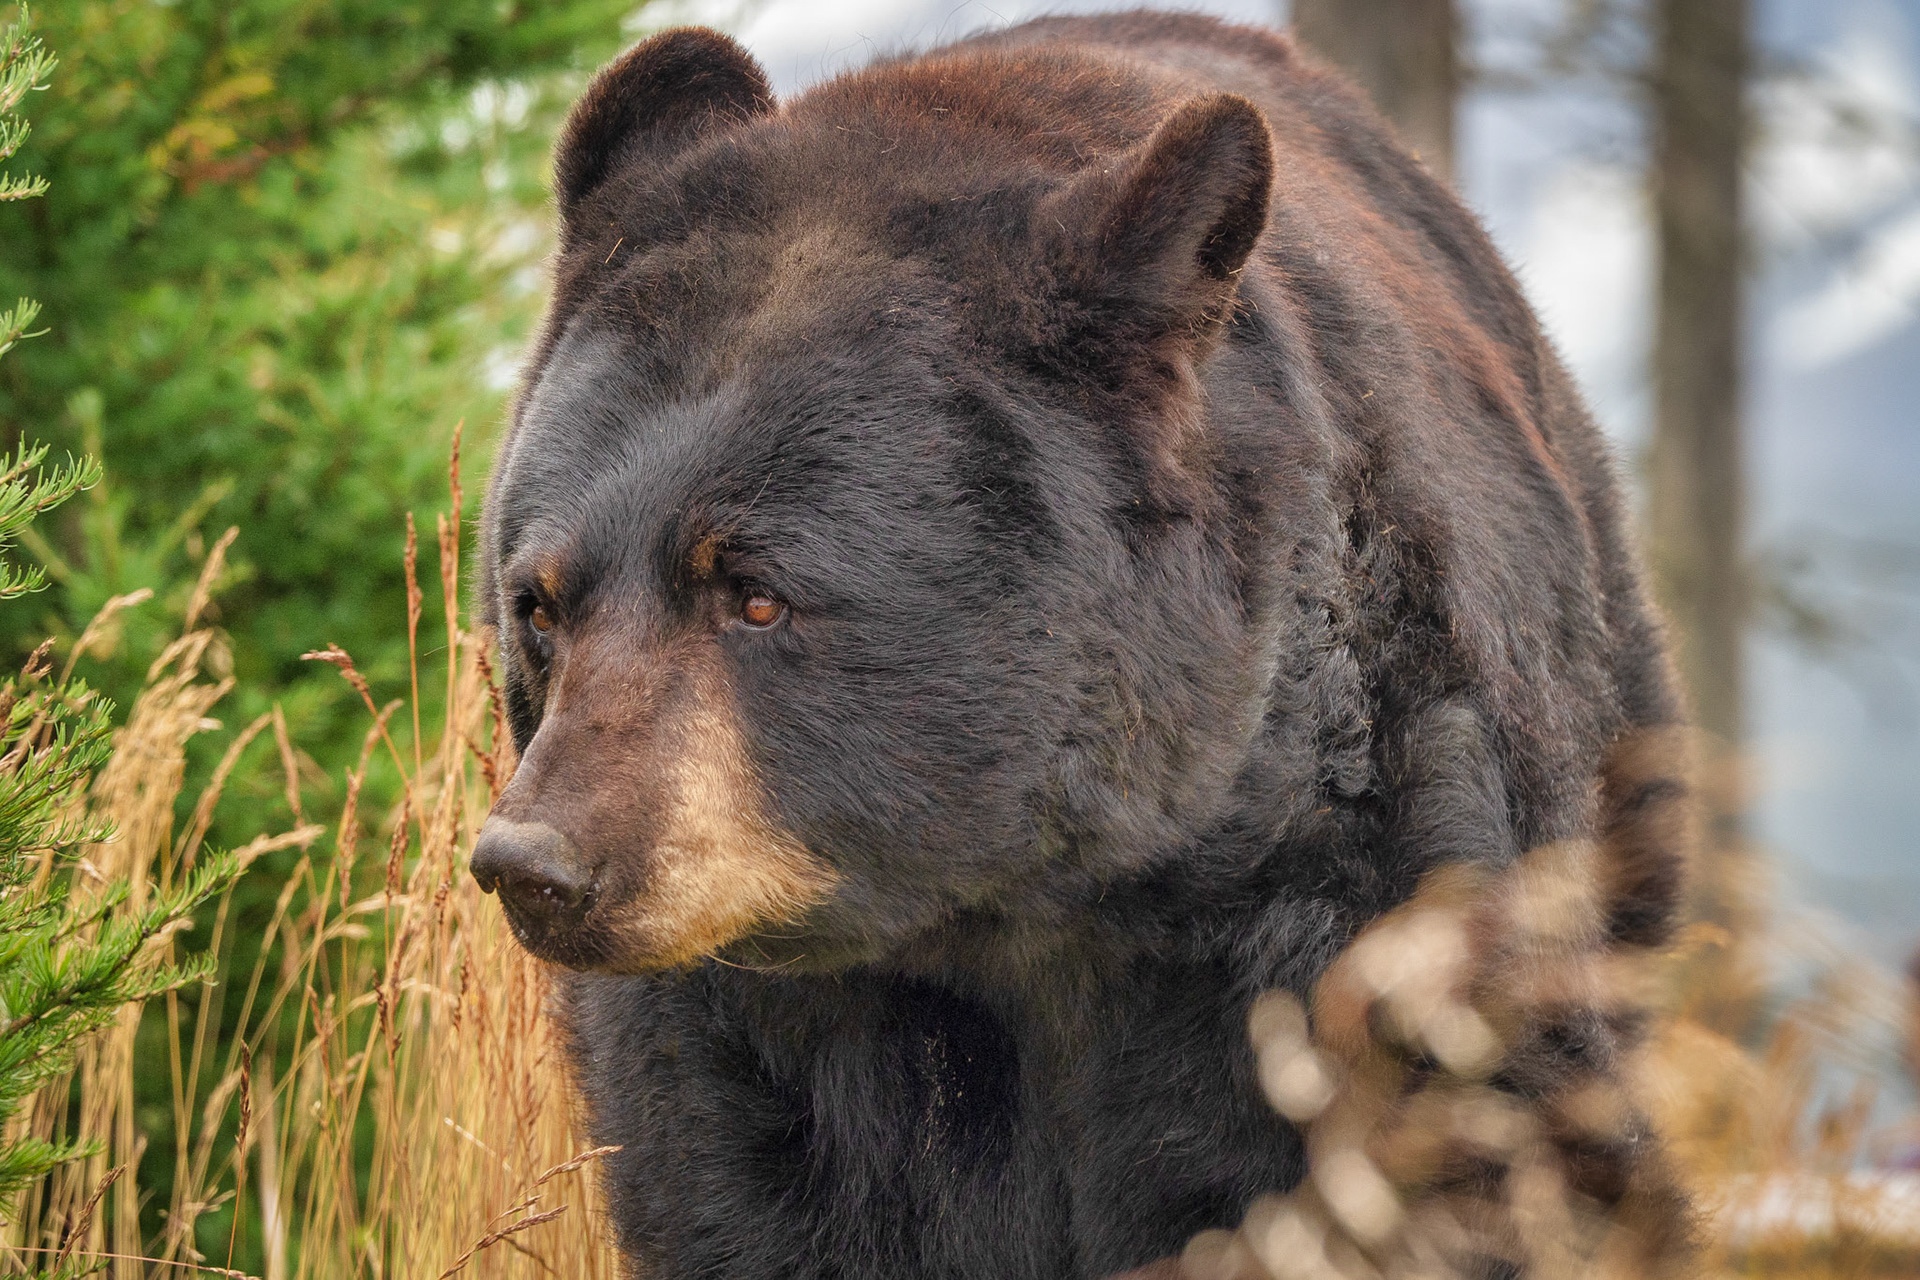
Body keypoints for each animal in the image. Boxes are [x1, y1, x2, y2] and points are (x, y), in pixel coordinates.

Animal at [471, 11, 1692, 1278]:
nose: (536, 862)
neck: (1025, 908)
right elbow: (745, 1192)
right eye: (541, 604)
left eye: (754, 594)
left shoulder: (1360, 860)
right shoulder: (745, 1030)